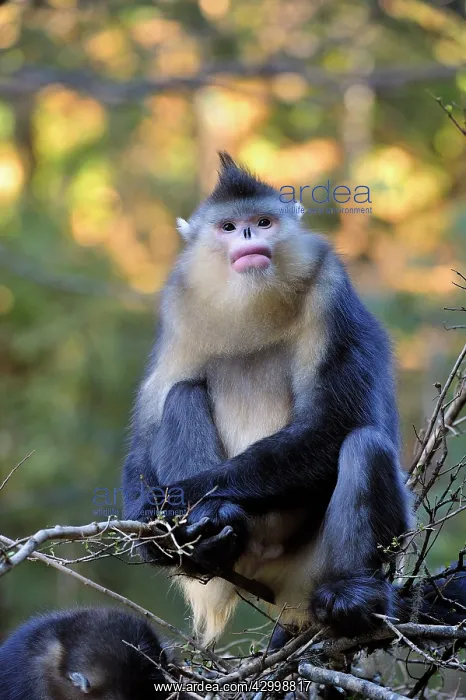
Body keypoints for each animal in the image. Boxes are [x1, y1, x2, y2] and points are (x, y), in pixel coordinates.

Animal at [122, 151, 413, 646]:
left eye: (263, 221)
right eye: (228, 226)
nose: (247, 236)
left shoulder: (329, 285)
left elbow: (334, 422)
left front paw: (182, 499)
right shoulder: (180, 305)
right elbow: (148, 424)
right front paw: (152, 522)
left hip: (304, 572)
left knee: (366, 444)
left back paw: (352, 597)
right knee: (181, 393)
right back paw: (211, 540)